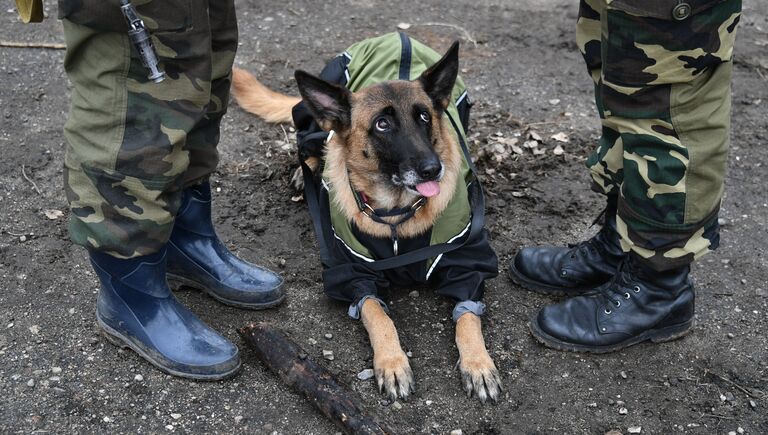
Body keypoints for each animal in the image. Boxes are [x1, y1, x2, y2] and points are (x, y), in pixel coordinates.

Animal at [231, 40, 500, 402]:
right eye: (382, 124)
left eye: (424, 116)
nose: (433, 169)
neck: (397, 213)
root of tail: (394, 36)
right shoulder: (353, 273)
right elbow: (377, 316)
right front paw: (392, 362)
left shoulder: (466, 263)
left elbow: (469, 317)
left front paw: (478, 362)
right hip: (312, 120)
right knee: (311, 146)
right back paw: (307, 173)